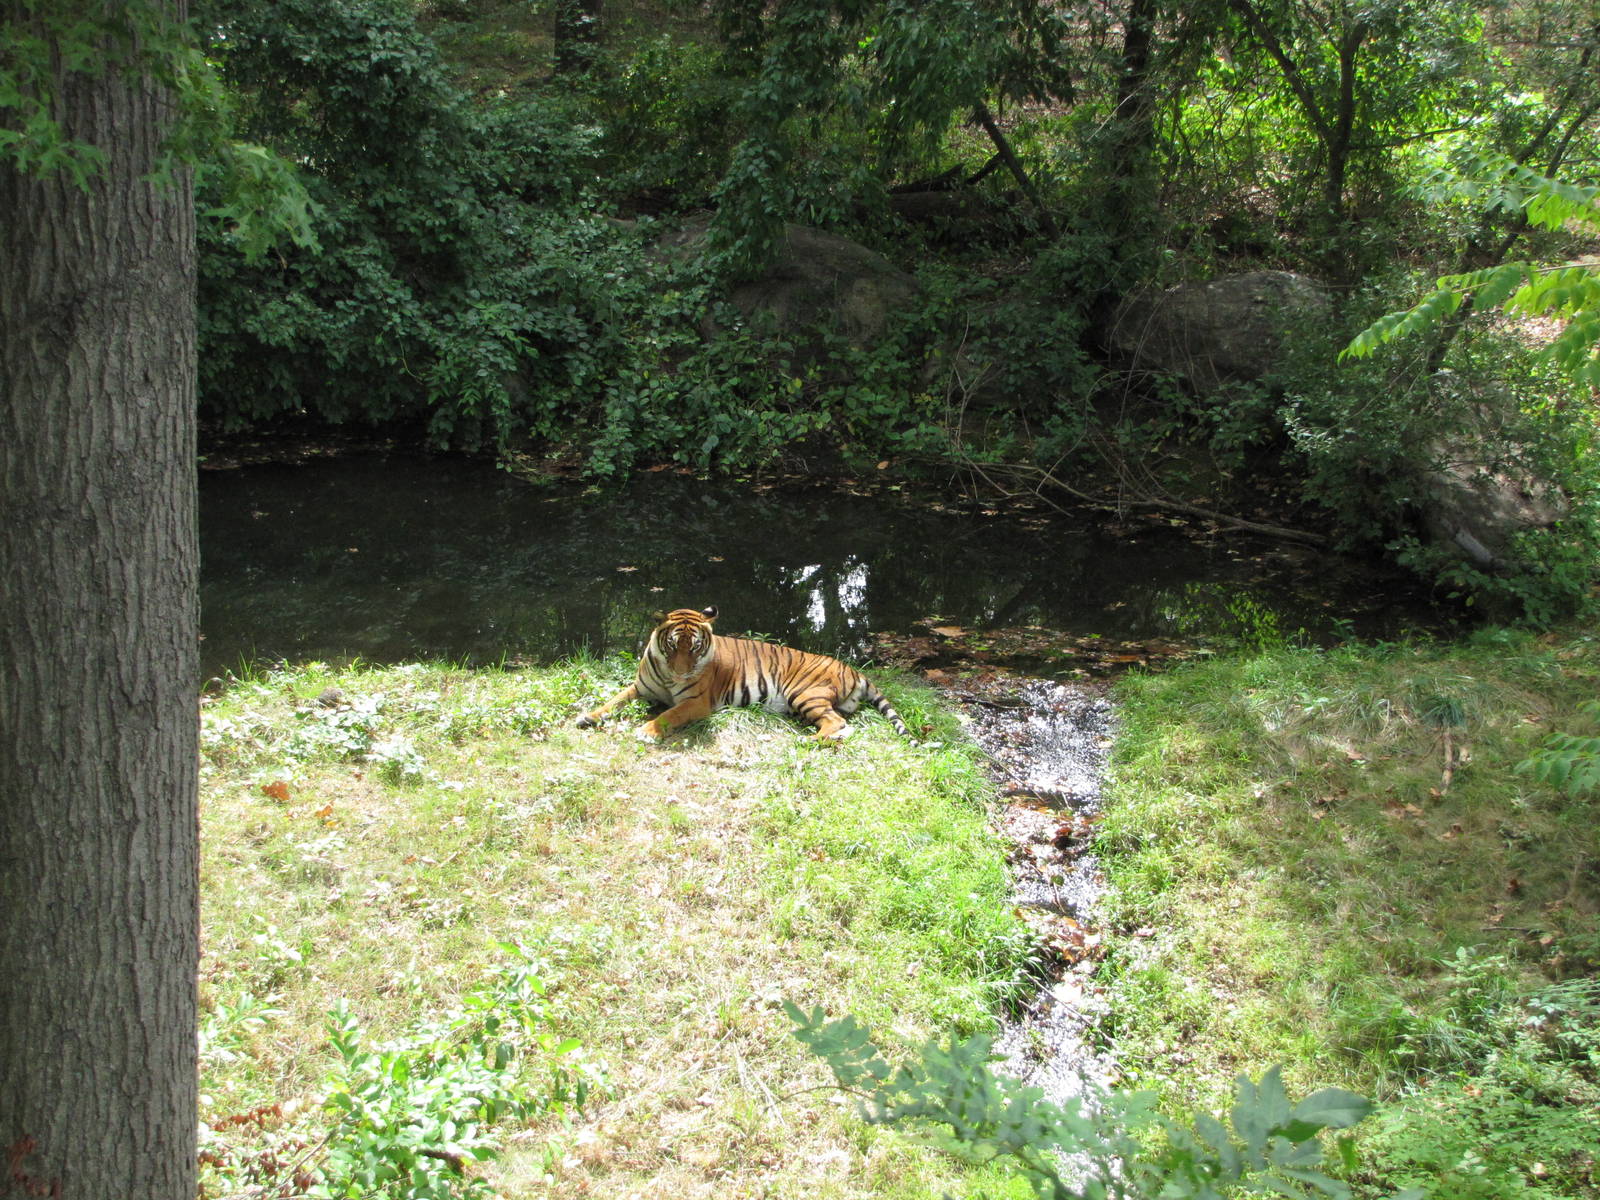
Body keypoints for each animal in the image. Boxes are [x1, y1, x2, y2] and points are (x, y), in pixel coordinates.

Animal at [576, 606, 912, 743]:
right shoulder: (640, 688)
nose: (682, 674)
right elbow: (613, 701)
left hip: (804, 693)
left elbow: (668, 715)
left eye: (695, 648)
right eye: (672, 646)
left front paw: (647, 730)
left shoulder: (696, 703)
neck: (668, 675)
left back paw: (808, 741)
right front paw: (588, 716)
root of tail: (853, 668)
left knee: (836, 722)